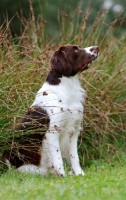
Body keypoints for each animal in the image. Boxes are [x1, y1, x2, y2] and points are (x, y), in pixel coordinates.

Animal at [2, 44, 99, 176]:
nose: (97, 48)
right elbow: (58, 159)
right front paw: (63, 176)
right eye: (75, 50)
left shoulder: (74, 130)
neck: (66, 89)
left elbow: (75, 157)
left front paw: (79, 175)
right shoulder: (52, 132)